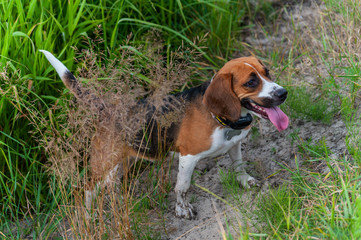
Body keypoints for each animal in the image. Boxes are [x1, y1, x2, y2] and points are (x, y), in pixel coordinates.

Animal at [40, 50, 286, 219]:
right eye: (251, 82)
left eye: (267, 73)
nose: (283, 93)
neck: (220, 118)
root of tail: (108, 109)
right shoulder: (188, 157)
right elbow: (182, 187)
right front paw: (182, 210)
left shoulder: (234, 145)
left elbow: (238, 165)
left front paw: (245, 181)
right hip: (104, 165)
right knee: (86, 190)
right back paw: (88, 217)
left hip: (124, 162)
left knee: (114, 185)